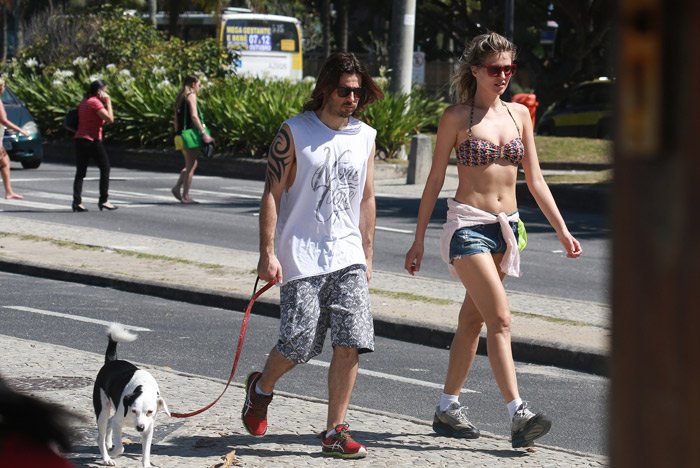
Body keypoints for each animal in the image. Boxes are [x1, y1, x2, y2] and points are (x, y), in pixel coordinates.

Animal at [93, 324, 170, 466]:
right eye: (134, 410)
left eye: (150, 412)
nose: (140, 428)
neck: (143, 386)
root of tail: (110, 362)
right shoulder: (119, 422)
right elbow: (120, 448)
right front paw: (113, 453)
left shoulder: (148, 428)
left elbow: (146, 452)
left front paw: (146, 465)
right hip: (102, 411)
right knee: (101, 436)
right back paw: (107, 458)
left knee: (110, 422)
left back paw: (108, 443)